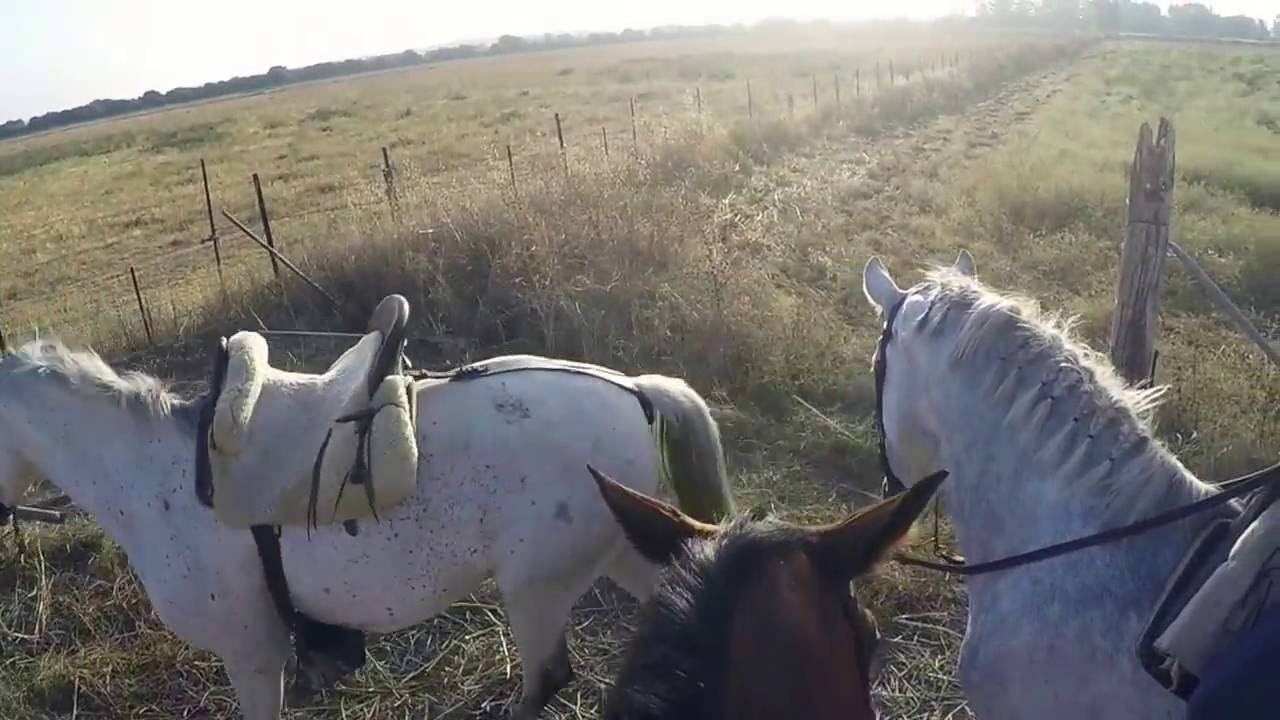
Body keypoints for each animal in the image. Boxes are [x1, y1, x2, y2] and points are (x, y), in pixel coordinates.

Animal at [0, 333, 734, 720]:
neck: (160, 478)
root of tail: (635, 390)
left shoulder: (250, 652)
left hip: (537, 588)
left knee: (548, 678)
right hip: (621, 548)